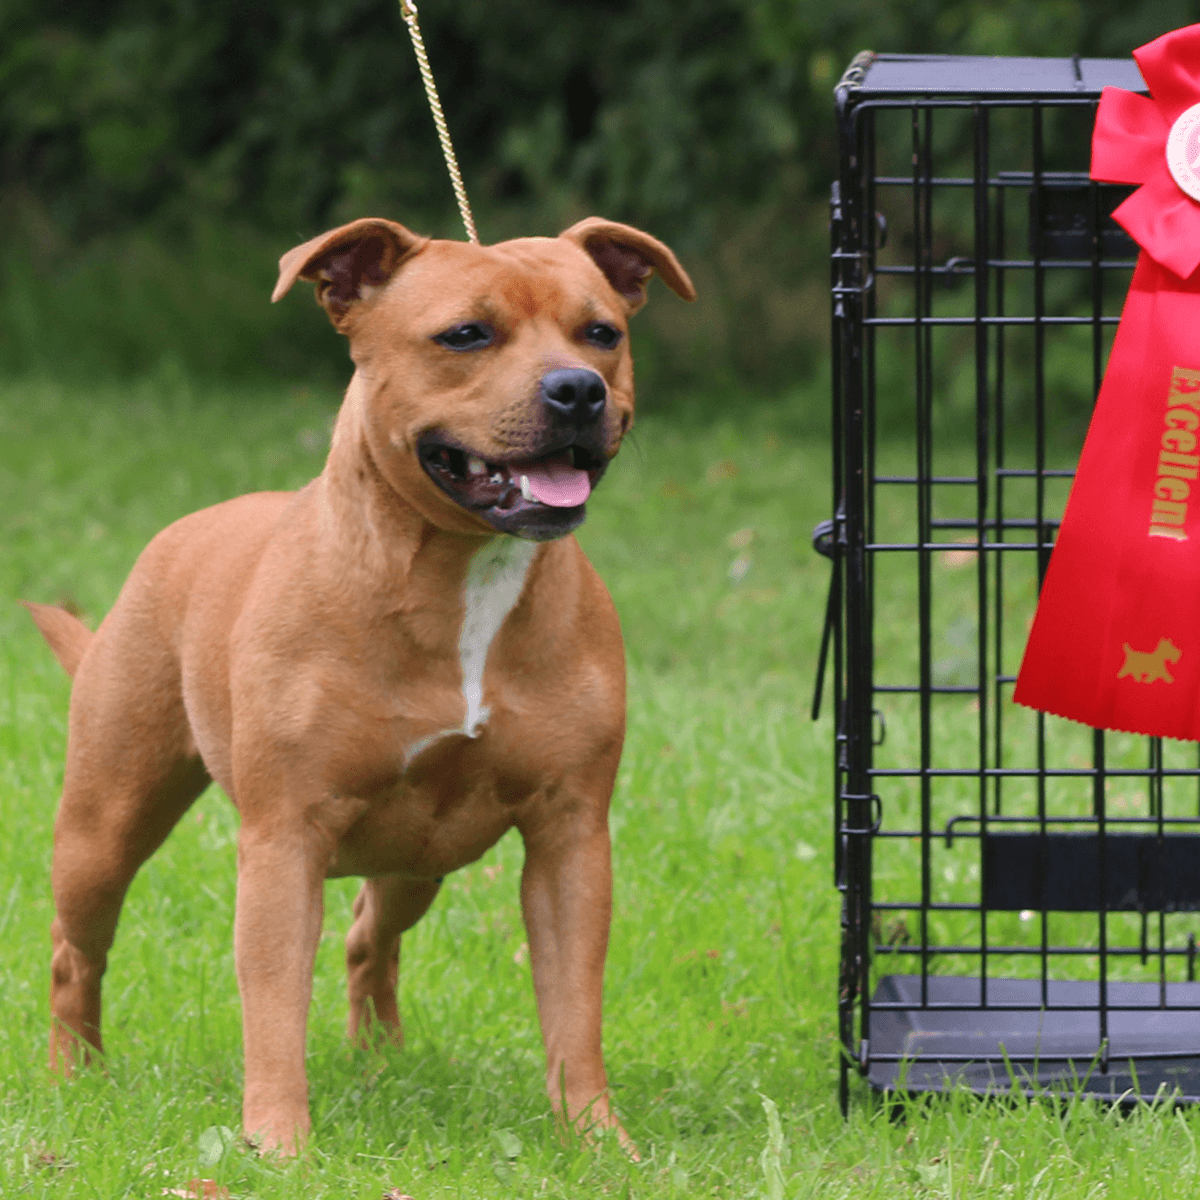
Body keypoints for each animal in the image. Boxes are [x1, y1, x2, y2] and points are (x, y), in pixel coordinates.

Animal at [23, 216, 696, 1152]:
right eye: (465, 334)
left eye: (602, 333)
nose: (577, 390)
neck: (463, 572)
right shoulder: (284, 841)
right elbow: (272, 1004)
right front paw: (279, 1144)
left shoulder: (570, 837)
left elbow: (573, 1007)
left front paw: (598, 1139)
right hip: (104, 825)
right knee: (75, 949)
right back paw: (74, 1072)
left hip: (423, 855)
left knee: (368, 937)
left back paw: (381, 1060)